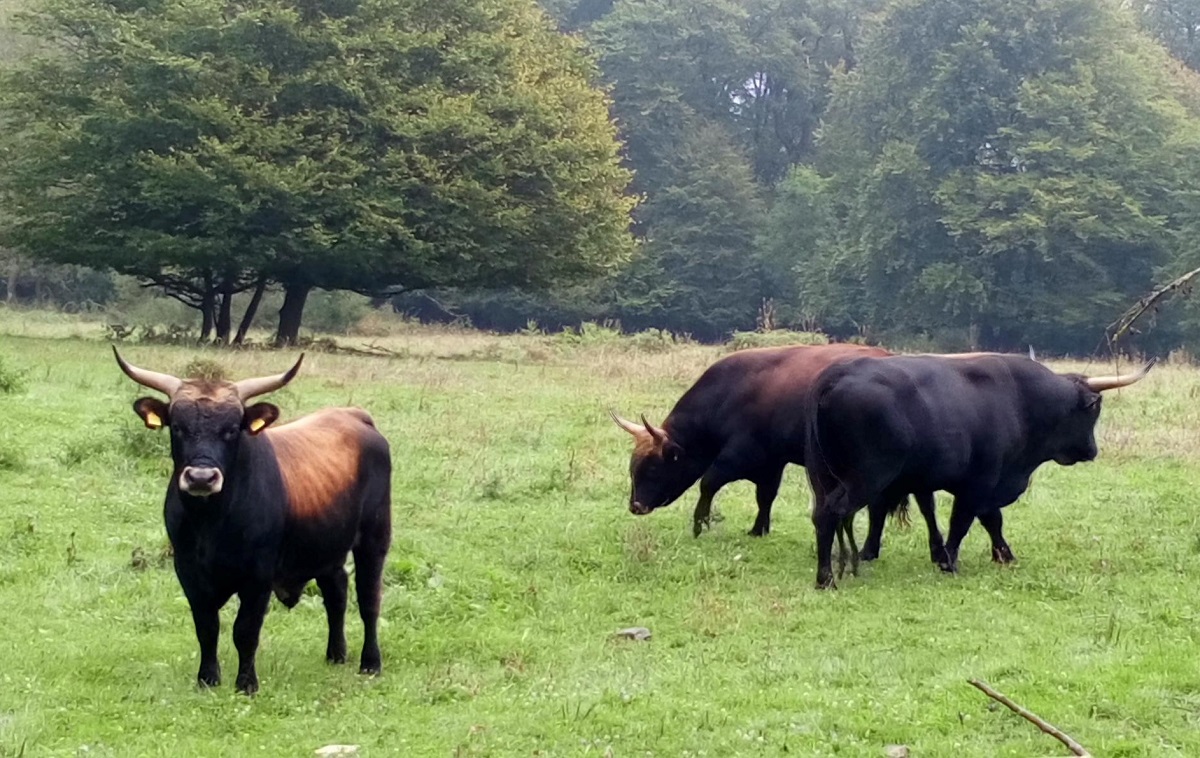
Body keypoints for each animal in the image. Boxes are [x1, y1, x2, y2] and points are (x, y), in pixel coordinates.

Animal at [115, 350, 391, 690]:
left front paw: (246, 684)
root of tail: (355, 416)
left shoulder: (258, 576)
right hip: (326, 545)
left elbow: (245, 630)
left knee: (369, 599)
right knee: (336, 590)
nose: (201, 478)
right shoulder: (188, 570)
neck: (211, 522)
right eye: (177, 427)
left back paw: (370, 662)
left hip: (375, 539)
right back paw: (335, 654)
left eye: (232, 429)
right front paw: (208, 678)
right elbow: (206, 627)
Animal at [806, 352, 1152, 590]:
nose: (1092, 451)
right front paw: (949, 562)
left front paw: (1003, 555)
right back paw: (827, 578)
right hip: (866, 477)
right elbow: (964, 522)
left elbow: (991, 520)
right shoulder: (980, 483)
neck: (1020, 400)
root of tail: (837, 376)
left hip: (825, 477)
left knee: (825, 515)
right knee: (832, 513)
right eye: (1095, 410)